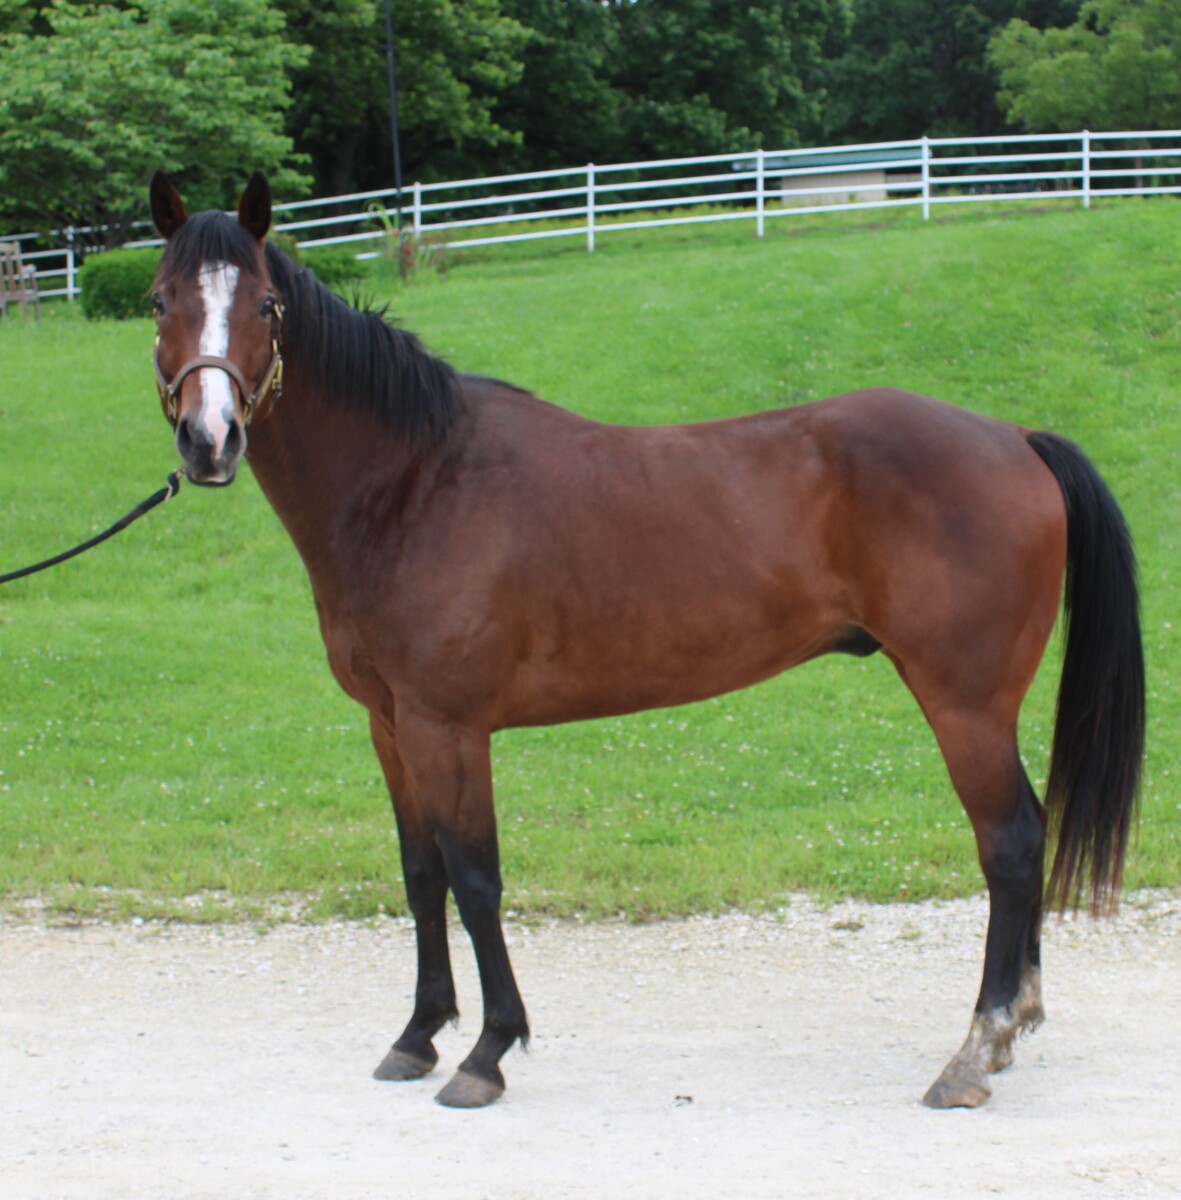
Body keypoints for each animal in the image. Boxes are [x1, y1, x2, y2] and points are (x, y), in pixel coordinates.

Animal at [146, 171, 1144, 1110]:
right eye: (161, 301)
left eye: (265, 306)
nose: (209, 440)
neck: (415, 482)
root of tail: (1014, 437)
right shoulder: (390, 726)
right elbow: (420, 872)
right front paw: (418, 1034)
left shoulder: (448, 728)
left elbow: (476, 878)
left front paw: (487, 1051)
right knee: (1026, 835)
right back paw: (1010, 1029)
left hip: (963, 704)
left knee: (1010, 844)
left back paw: (974, 1049)